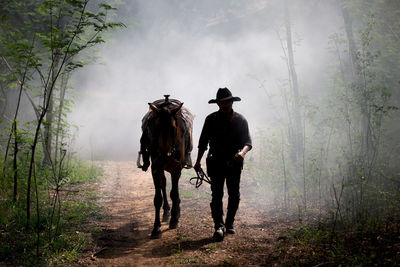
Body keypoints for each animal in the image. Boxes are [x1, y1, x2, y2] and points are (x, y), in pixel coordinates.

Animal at [138, 95, 193, 240]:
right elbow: (158, 198)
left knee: (173, 190)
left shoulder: (176, 169)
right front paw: (156, 228)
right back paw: (167, 211)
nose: (163, 156)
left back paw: (175, 212)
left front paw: (174, 220)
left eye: (173, 128)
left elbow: (174, 193)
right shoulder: (156, 168)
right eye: (155, 128)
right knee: (163, 184)